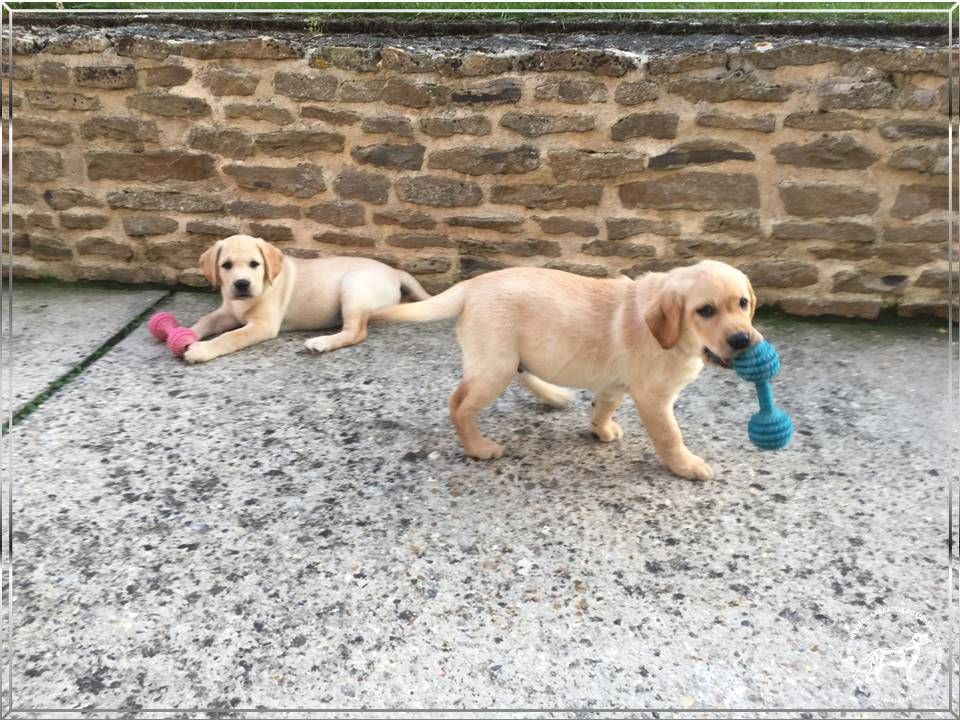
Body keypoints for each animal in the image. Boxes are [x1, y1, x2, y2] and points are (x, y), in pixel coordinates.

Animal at [183, 233, 428, 362]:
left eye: (255, 264)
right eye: (226, 265)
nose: (241, 284)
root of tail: (395, 272)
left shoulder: (263, 325)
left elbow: (231, 337)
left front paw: (201, 350)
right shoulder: (227, 312)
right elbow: (206, 320)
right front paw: (188, 333)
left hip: (353, 287)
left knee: (356, 331)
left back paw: (321, 343)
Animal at [374, 262, 756, 480]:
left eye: (743, 303)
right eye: (705, 311)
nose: (743, 339)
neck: (672, 336)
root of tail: (472, 285)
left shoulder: (615, 384)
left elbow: (604, 406)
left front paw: (601, 429)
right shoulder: (654, 398)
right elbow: (670, 436)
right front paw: (686, 465)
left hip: (506, 356)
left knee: (519, 373)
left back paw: (553, 395)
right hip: (494, 366)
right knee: (459, 404)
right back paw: (478, 447)